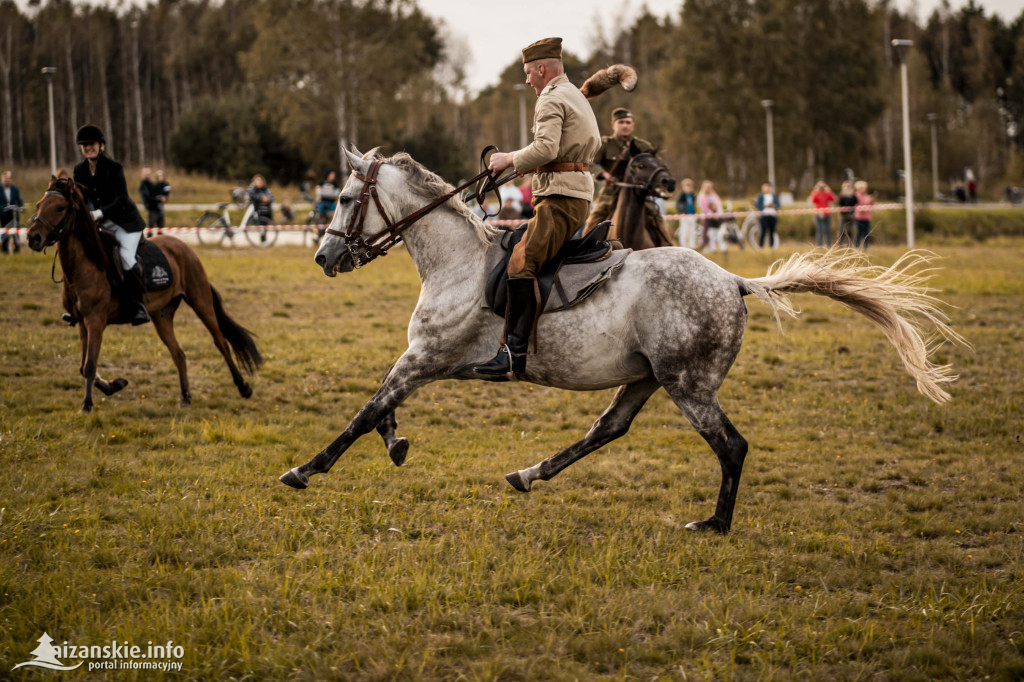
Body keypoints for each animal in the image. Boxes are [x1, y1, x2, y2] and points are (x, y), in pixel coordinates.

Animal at [27, 175, 262, 409]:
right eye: (38, 205)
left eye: (60, 208)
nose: (32, 238)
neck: (84, 267)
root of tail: (184, 247)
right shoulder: (82, 322)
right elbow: (83, 367)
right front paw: (115, 385)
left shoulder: (95, 321)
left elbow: (90, 365)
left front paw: (87, 405)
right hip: (162, 315)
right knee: (179, 354)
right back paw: (185, 397)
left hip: (200, 302)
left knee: (221, 342)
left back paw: (243, 387)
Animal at [282, 147, 966, 532]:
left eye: (345, 198)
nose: (322, 258)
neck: (457, 260)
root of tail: (733, 280)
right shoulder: (426, 361)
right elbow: (382, 405)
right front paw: (396, 444)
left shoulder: (426, 357)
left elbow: (366, 408)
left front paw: (306, 469)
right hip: (645, 379)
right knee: (606, 429)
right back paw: (530, 473)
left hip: (688, 386)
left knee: (732, 446)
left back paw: (714, 524)